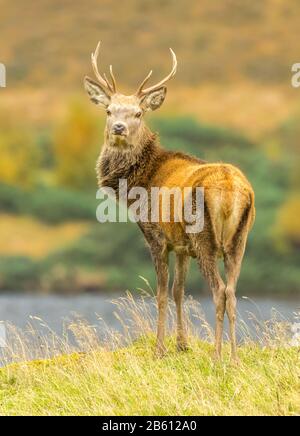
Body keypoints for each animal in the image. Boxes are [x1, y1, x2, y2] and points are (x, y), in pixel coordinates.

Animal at [84, 41, 255, 362]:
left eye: (138, 113)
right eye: (109, 110)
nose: (118, 128)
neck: (140, 182)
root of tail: (231, 188)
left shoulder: (157, 237)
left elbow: (162, 293)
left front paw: (160, 348)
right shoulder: (182, 246)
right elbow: (179, 291)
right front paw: (182, 344)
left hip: (205, 238)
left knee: (218, 291)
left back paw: (217, 356)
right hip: (239, 240)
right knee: (232, 292)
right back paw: (234, 358)